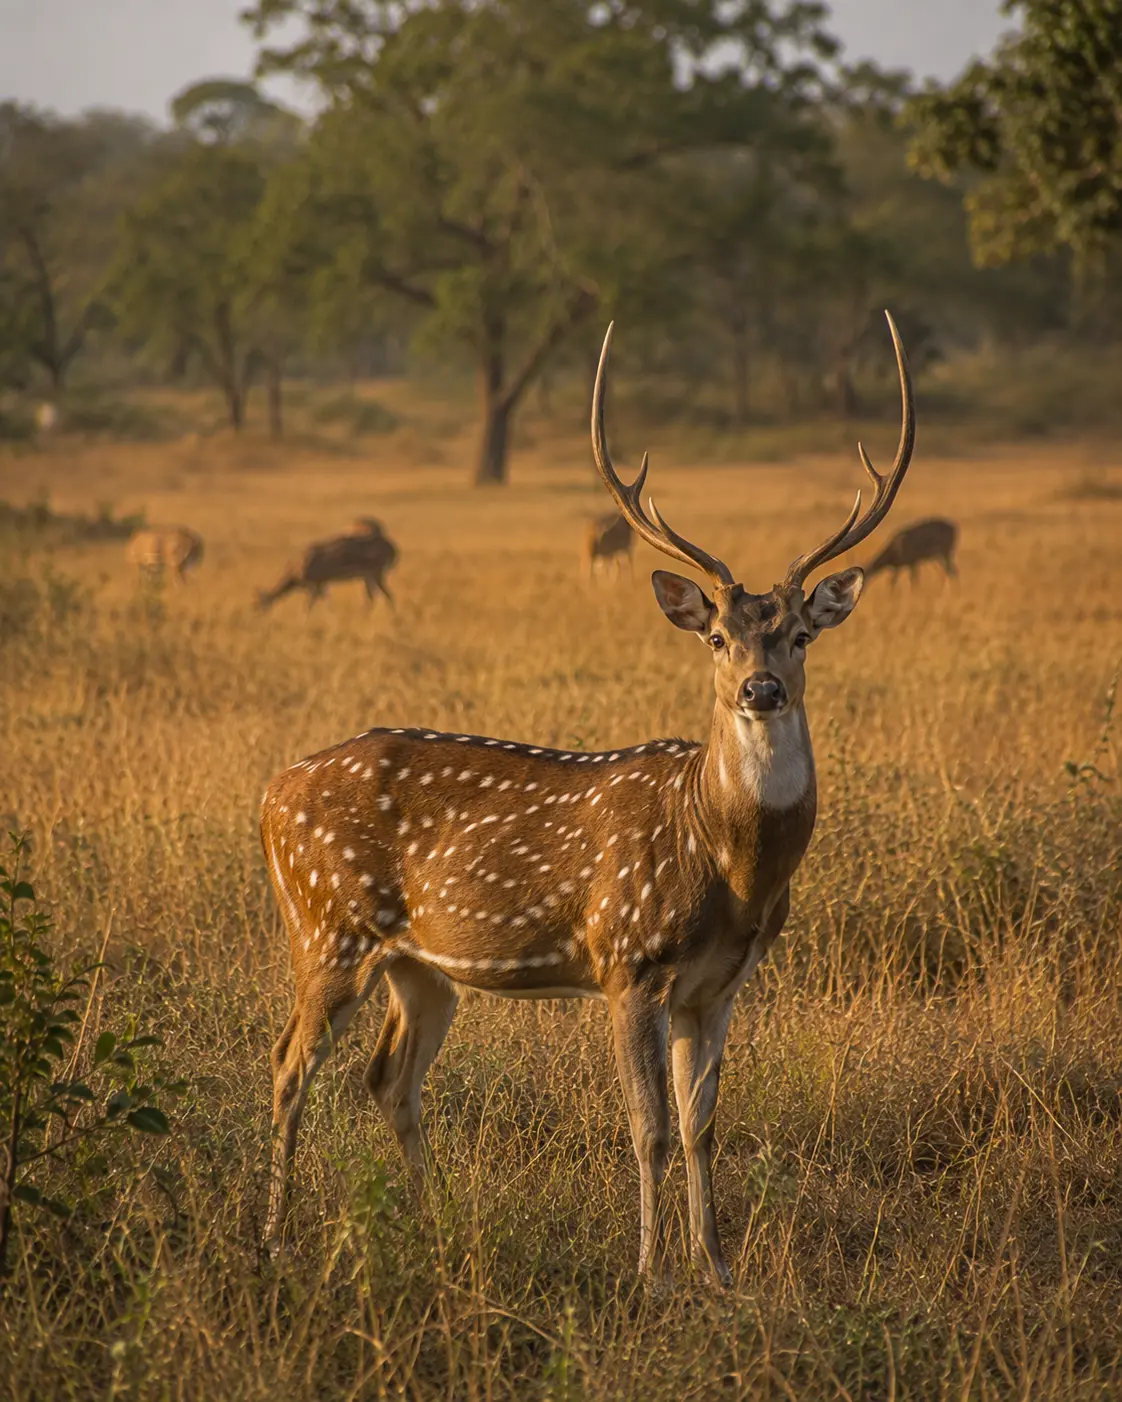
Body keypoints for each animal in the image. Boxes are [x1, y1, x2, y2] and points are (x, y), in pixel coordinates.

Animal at [257, 519, 398, 610]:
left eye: (259, 604)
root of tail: (393, 549)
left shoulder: (314, 584)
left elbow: (309, 605)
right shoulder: (322, 583)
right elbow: (325, 601)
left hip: (376, 573)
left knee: (387, 595)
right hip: (368, 576)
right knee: (374, 596)